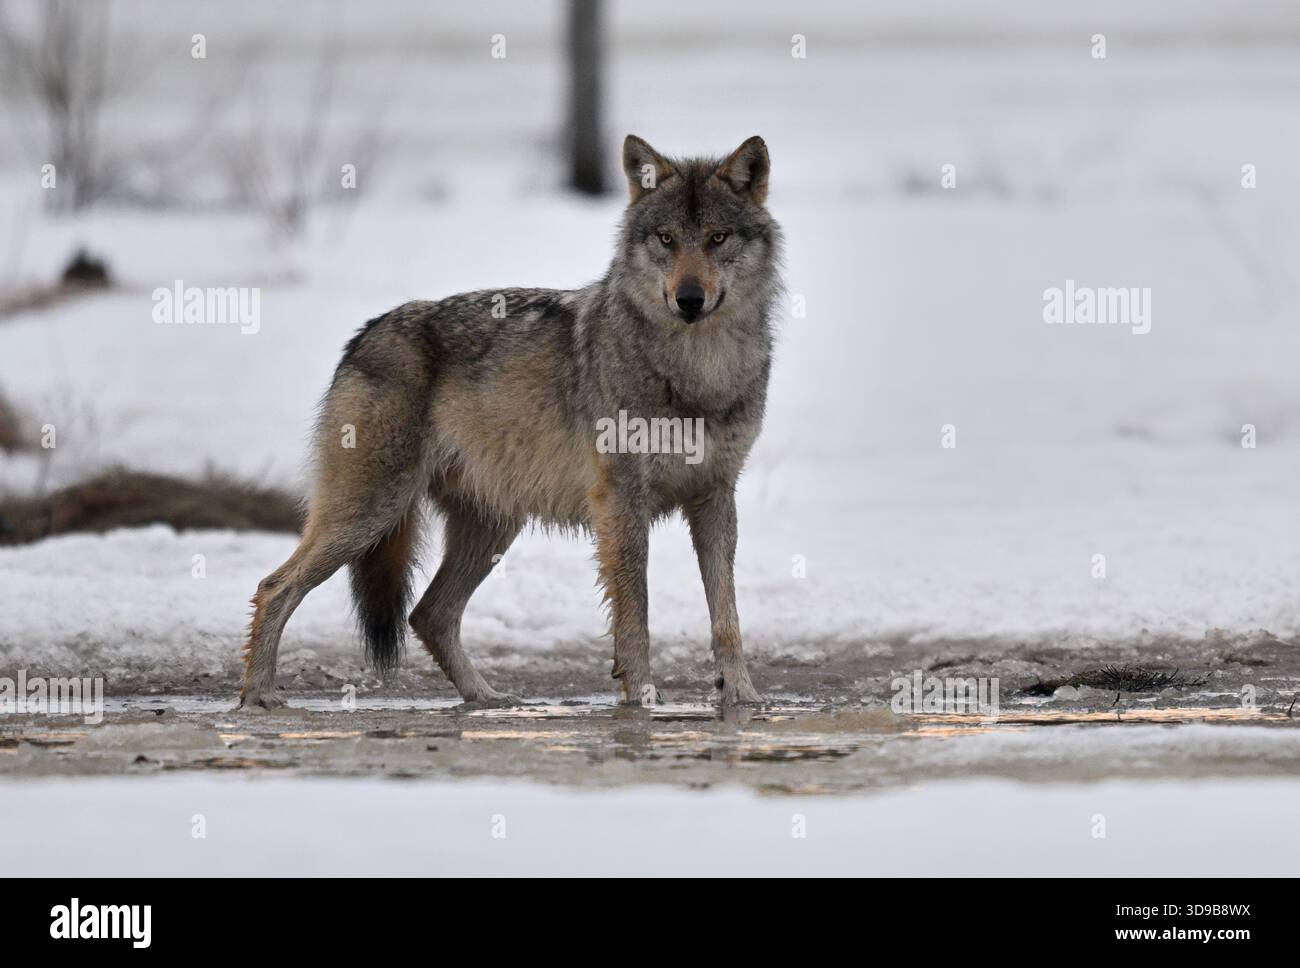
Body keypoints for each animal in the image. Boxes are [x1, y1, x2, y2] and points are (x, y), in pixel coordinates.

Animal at [239, 134, 782, 709]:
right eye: (667, 239)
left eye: (717, 237)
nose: (689, 299)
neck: (699, 371)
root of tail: (365, 333)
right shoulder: (621, 501)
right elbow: (635, 612)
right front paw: (643, 699)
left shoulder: (715, 498)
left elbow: (727, 616)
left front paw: (743, 696)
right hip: (369, 515)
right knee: (276, 587)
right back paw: (258, 695)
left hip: (489, 528)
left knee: (428, 613)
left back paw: (486, 697)